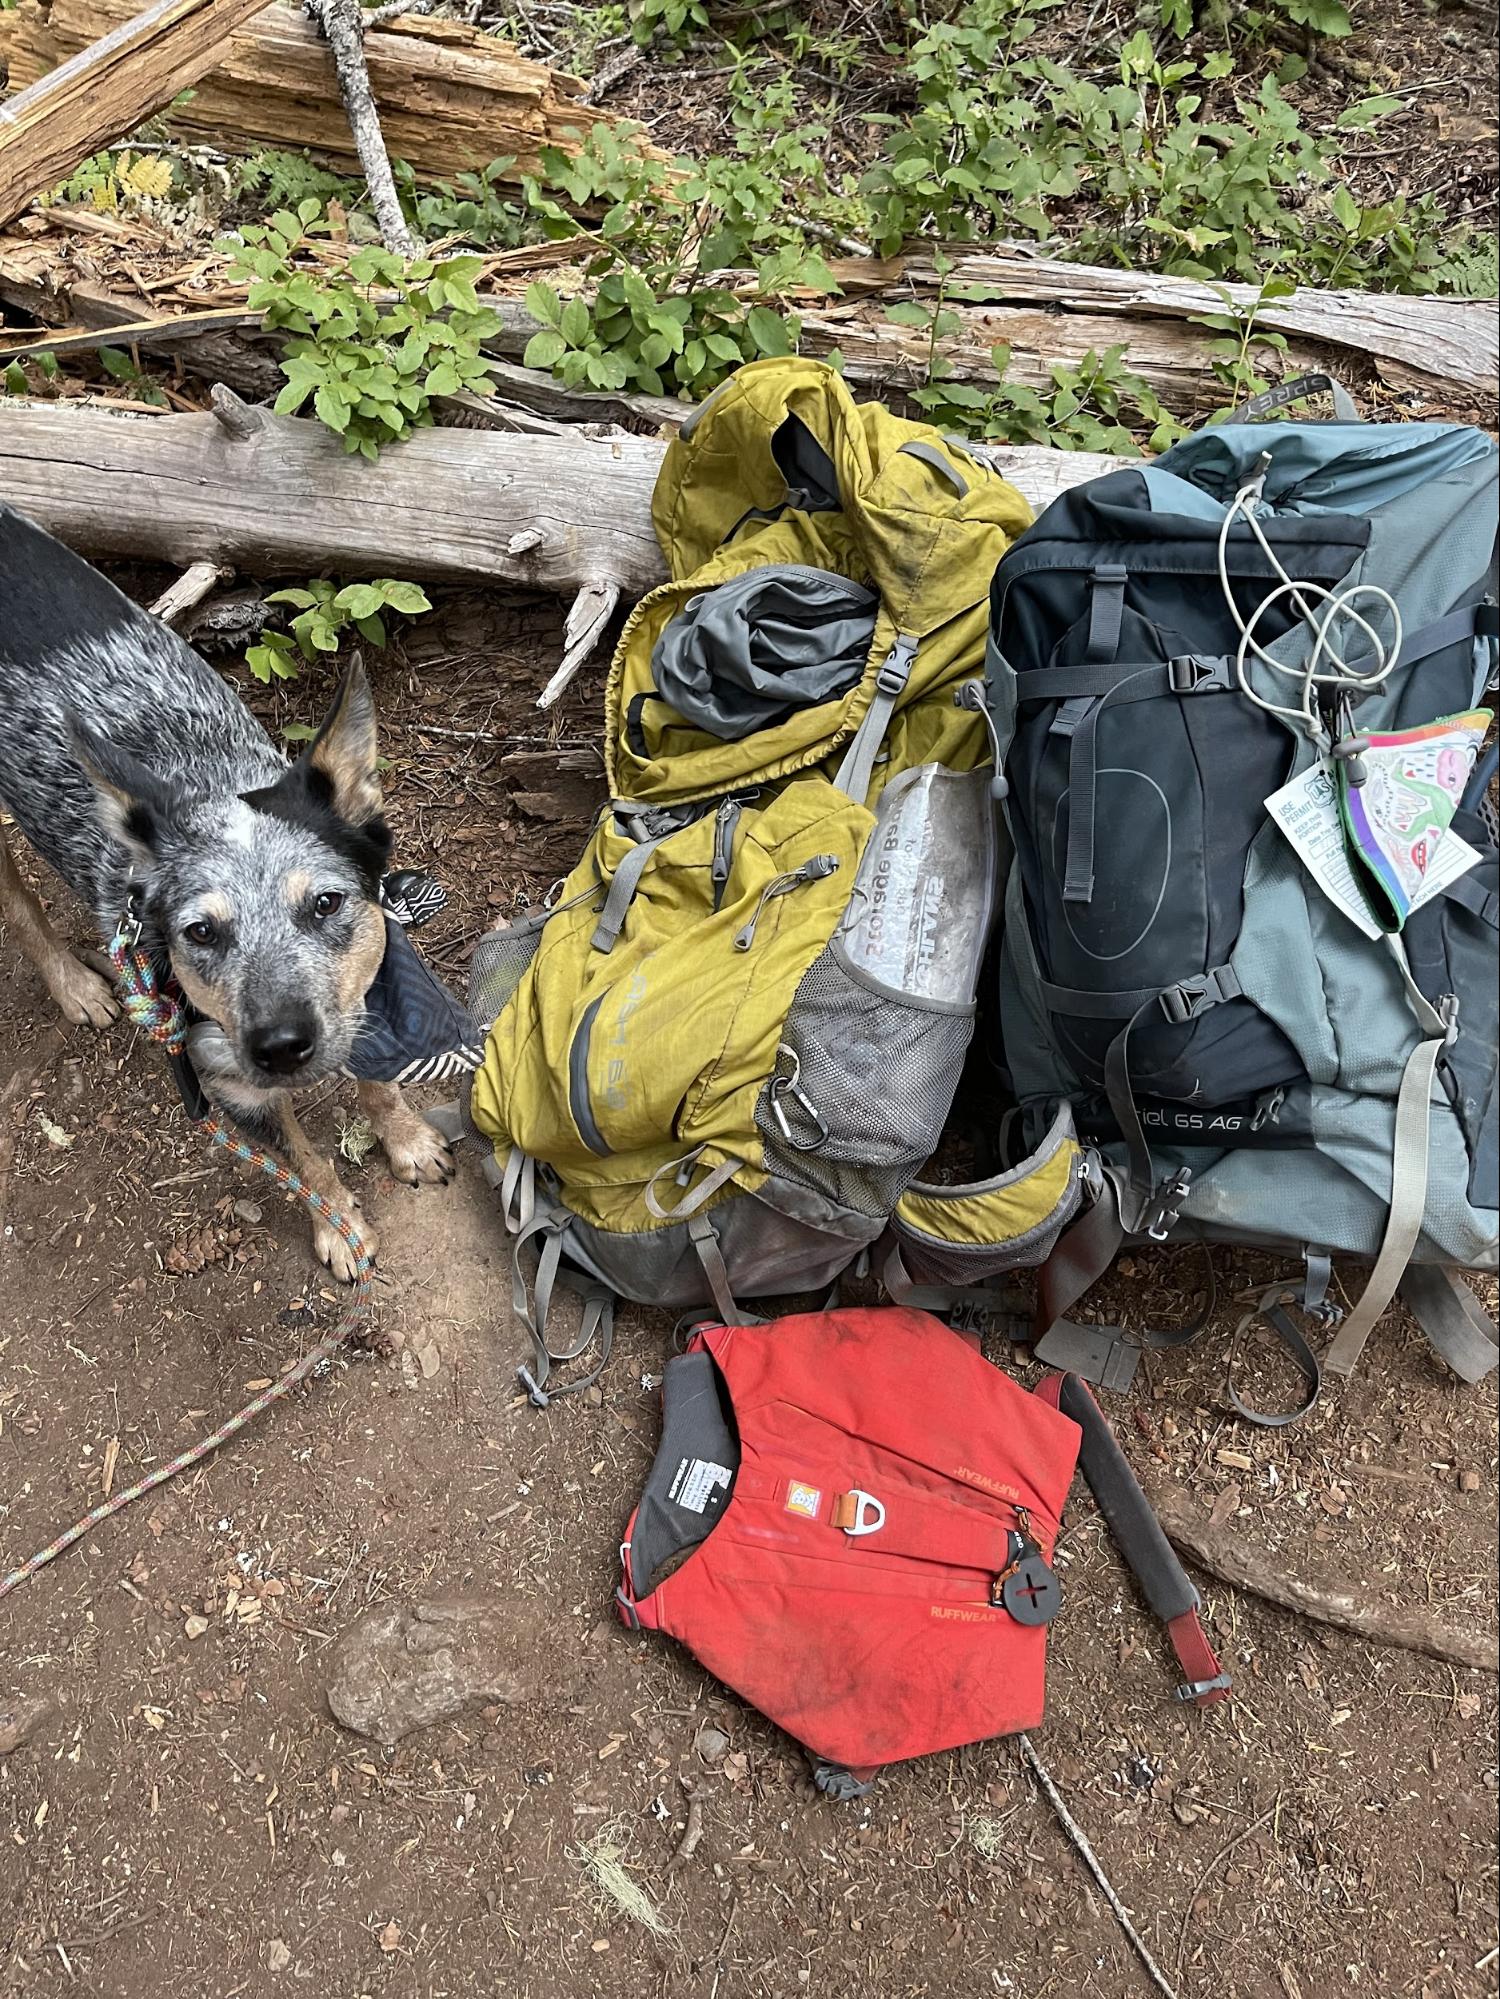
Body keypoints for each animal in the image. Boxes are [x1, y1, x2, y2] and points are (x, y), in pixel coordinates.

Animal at [0, 507, 456, 1271]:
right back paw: (76, 985)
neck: (210, 776)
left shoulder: (369, 990)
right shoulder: (230, 1083)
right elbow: (304, 1159)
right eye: (200, 932)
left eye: (326, 903)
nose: (280, 1046)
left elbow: (379, 1083)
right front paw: (338, 1226)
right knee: (17, 900)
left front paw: (408, 1140)